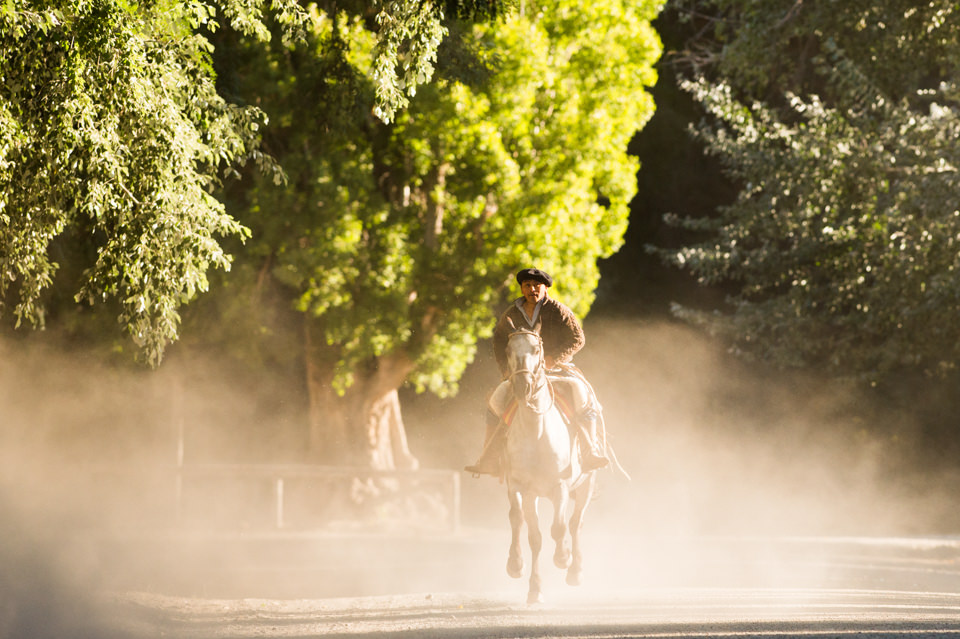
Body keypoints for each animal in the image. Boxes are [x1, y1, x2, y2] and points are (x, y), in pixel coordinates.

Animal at [498, 324, 596, 604]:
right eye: (508, 350)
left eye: (536, 349)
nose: (523, 385)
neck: (537, 433)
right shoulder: (524, 489)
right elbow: (533, 535)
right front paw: (531, 584)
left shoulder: (560, 487)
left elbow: (559, 528)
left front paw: (563, 557)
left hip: (586, 485)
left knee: (575, 523)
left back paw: (575, 571)